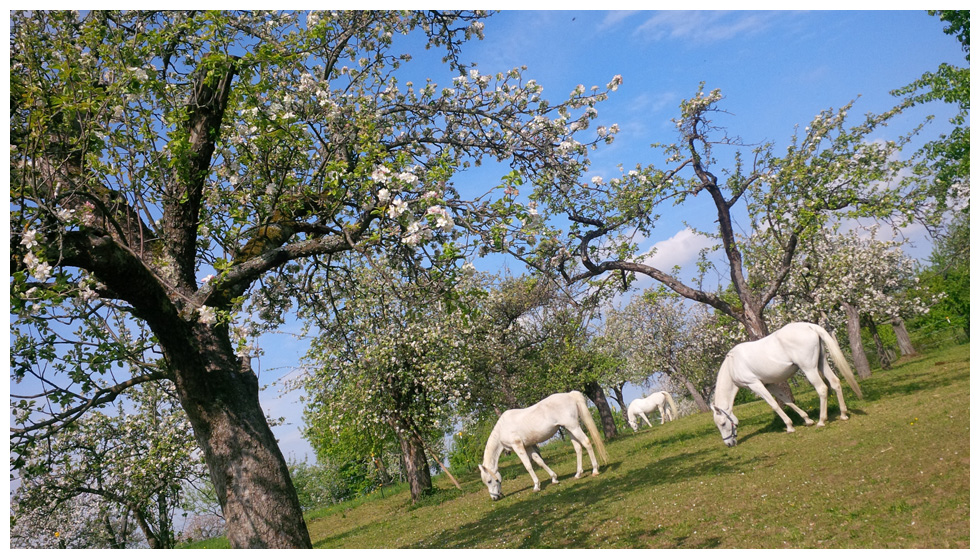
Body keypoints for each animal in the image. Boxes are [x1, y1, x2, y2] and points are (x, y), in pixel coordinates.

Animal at [480, 392, 608, 500]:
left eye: (489, 481)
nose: (495, 498)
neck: (502, 428)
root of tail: (569, 395)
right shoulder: (528, 446)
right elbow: (539, 461)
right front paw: (554, 478)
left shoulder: (518, 446)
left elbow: (528, 466)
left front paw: (536, 486)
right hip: (569, 429)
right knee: (578, 448)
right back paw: (578, 474)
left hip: (573, 427)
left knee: (586, 442)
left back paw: (595, 470)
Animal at [708, 322, 860, 448]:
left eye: (722, 423)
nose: (729, 444)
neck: (732, 365)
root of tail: (809, 325)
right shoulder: (769, 384)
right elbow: (786, 401)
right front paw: (807, 420)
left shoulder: (755, 385)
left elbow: (774, 405)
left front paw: (789, 427)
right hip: (822, 364)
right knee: (835, 383)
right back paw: (843, 414)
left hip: (809, 369)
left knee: (822, 389)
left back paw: (821, 421)